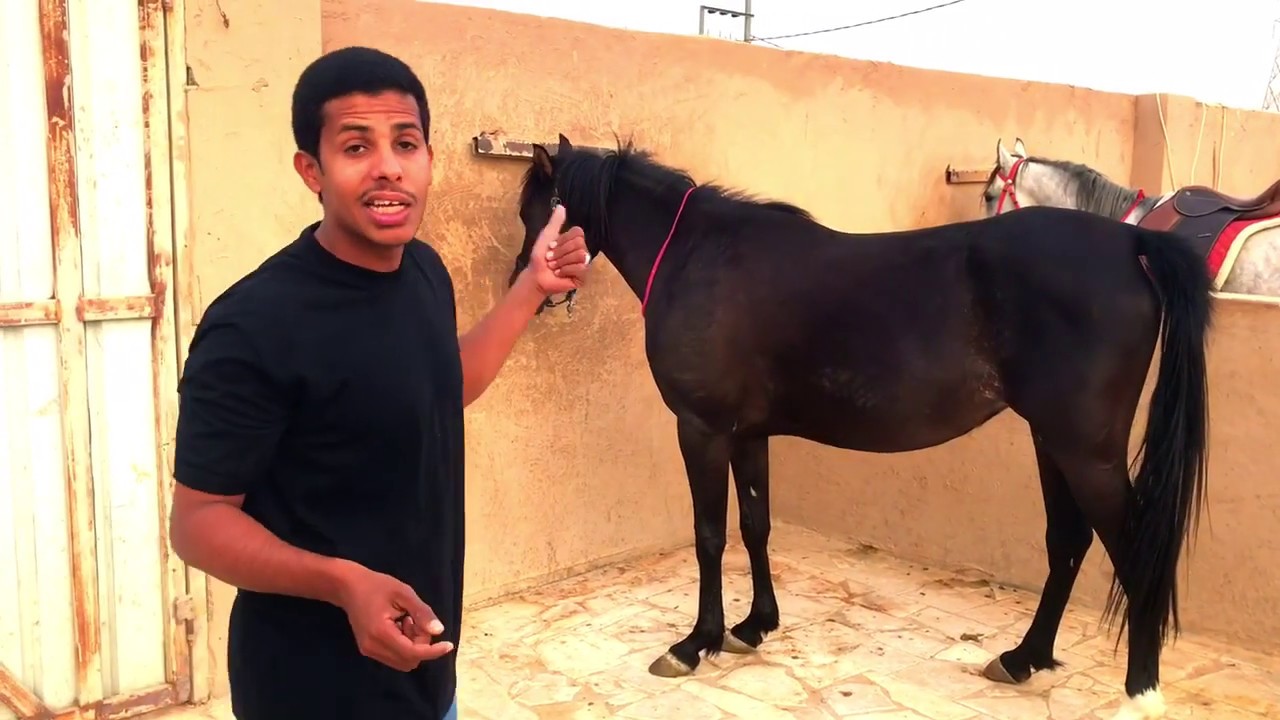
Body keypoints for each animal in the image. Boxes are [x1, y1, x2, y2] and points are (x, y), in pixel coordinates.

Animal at [509, 134, 1213, 719]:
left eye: (532, 213)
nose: (526, 286)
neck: (695, 254)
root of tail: (1132, 244)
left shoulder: (701, 428)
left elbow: (709, 535)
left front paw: (695, 643)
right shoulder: (748, 433)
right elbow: (756, 524)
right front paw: (753, 626)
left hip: (1085, 451)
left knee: (1130, 548)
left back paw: (1139, 693)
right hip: (1054, 442)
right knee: (1067, 541)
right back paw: (1023, 659)